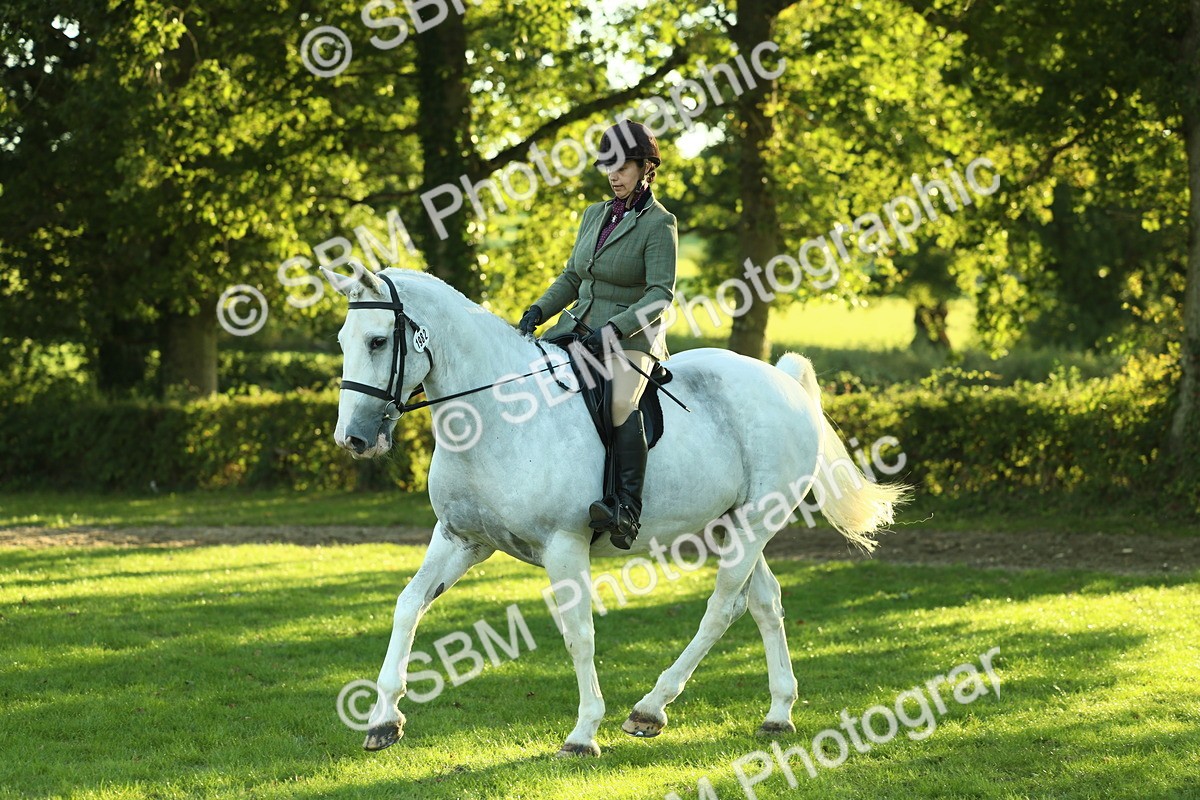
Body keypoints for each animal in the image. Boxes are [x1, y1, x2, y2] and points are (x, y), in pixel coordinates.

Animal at [322, 265, 910, 757]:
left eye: (378, 340)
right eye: (344, 341)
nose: (353, 440)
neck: (495, 415)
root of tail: (784, 382)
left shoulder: (563, 546)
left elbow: (578, 634)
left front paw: (583, 734)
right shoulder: (460, 539)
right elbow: (408, 606)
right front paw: (383, 719)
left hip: (755, 522)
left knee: (723, 607)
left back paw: (650, 709)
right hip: (730, 524)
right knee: (764, 602)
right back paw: (779, 712)